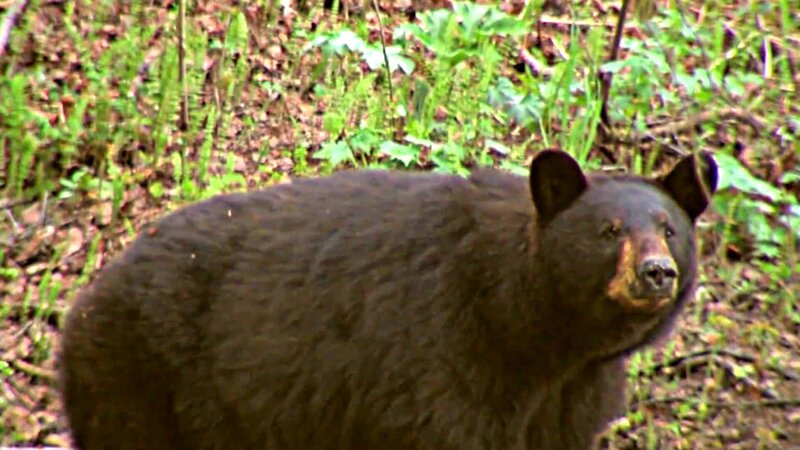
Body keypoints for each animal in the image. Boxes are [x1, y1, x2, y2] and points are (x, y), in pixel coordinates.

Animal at [58, 148, 718, 450]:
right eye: (609, 230)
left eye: (669, 230)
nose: (657, 273)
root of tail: (88, 295)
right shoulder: (442, 357)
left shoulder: (569, 398)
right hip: (142, 380)